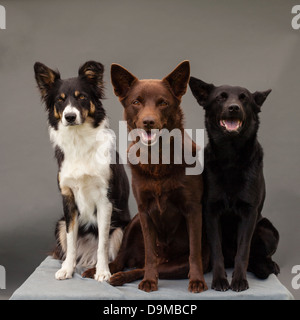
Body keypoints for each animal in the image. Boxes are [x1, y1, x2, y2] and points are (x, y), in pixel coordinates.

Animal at [82, 60, 209, 292]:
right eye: (136, 102)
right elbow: (150, 253)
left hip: (176, 264)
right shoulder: (144, 211)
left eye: (163, 103)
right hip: (133, 223)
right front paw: (150, 280)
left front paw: (197, 280)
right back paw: (104, 271)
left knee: (142, 267)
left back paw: (122, 277)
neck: (157, 158)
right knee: (124, 260)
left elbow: (194, 251)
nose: (148, 121)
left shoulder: (193, 209)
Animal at [190, 77, 278, 292]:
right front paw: (220, 280)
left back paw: (270, 265)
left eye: (244, 98)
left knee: (258, 255)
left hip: (267, 230)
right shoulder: (211, 212)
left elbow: (243, 251)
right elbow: (217, 250)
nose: (234, 108)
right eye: (221, 97)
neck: (230, 157)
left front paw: (238, 280)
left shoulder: (249, 213)